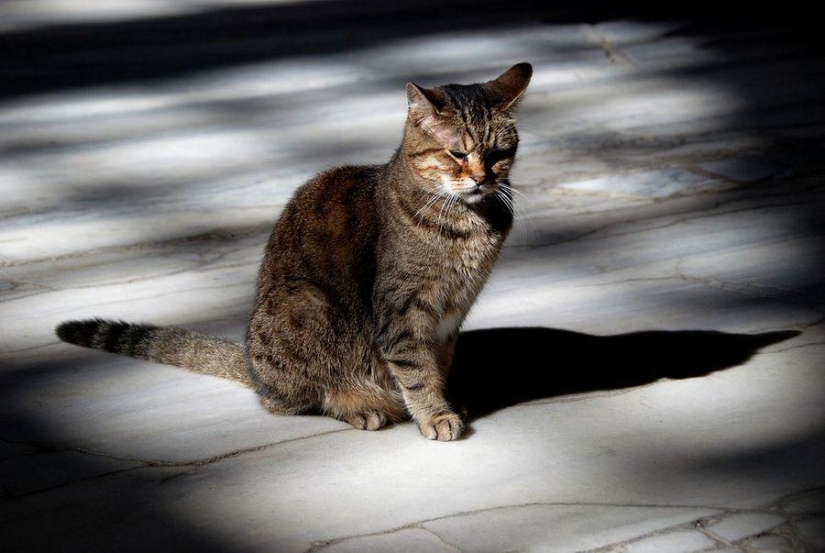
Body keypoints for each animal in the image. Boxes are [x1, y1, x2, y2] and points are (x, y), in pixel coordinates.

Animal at [58, 61, 536, 440]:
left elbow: (437, 361)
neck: (469, 221)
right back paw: (361, 406)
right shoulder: (402, 308)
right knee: (295, 400)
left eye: (499, 153)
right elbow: (415, 368)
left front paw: (446, 400)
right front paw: (435, 415)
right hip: (307, 303)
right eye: (457, 153)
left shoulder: (454, 310)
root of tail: (253, 369)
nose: (482, 179)